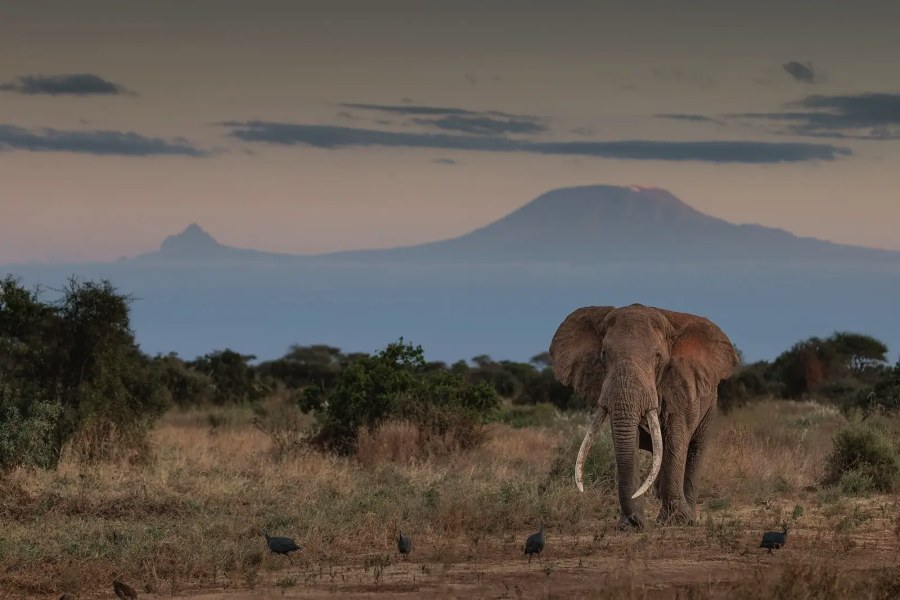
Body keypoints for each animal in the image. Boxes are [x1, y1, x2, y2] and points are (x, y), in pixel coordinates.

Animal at [549, 303, 738, 529]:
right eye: (604, 354)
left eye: (657, 357)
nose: (637, 523)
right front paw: (629, 526)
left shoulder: (681, 386)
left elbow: (676, 441)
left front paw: (676, 521)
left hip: (710, 403)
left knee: (695, 450)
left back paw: (688, 518)